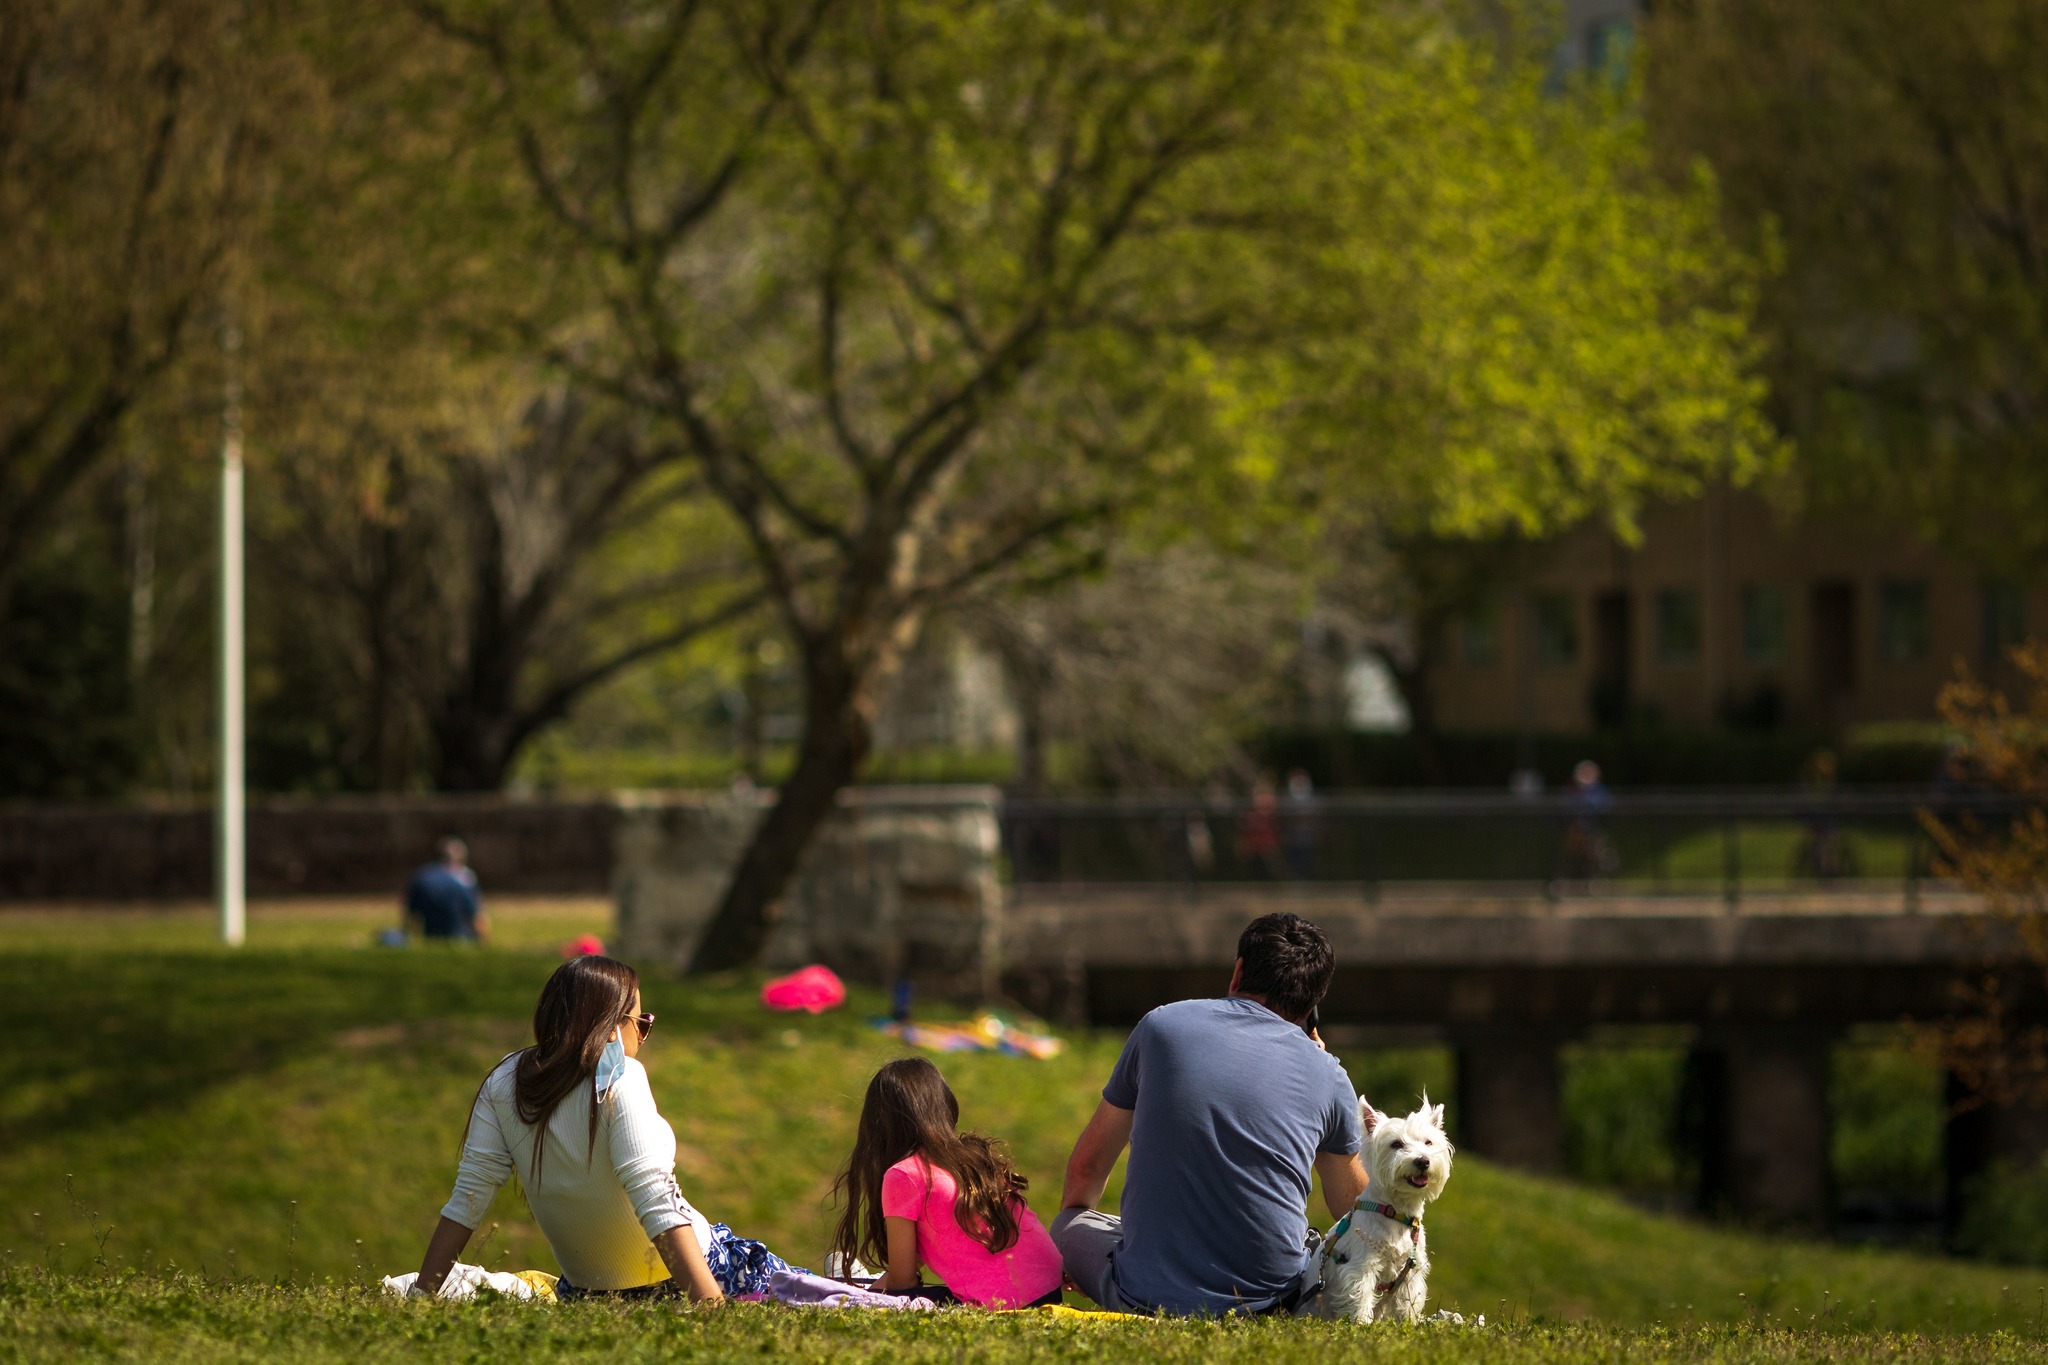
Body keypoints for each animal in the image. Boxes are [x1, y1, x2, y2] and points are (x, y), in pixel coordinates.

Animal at [1302, 1096, 1449, 1317]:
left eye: (1428, 1142)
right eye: (1396, 1144)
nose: (1423, 1161)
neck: (1396, 1212)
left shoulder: (1411, 1272)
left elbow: (1407, 1306)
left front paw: (1409, 1323)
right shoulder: (1362, 1267)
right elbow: (1361, 1301)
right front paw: (1361, 1323)